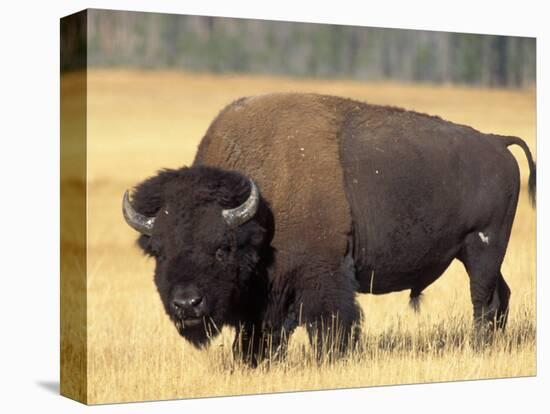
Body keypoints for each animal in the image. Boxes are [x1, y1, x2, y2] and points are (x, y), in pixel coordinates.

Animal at [123, 93, 536, 366]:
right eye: (158, 251)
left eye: (222, 248)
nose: (186, 304)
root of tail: (497, 142)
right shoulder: (268, 294)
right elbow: (262, 332)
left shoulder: (322, 274)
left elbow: (329, 323)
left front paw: (332, 358)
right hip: (477, 254)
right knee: (501, 295)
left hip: (483, 247)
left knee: (483, 300)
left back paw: (478, 346)